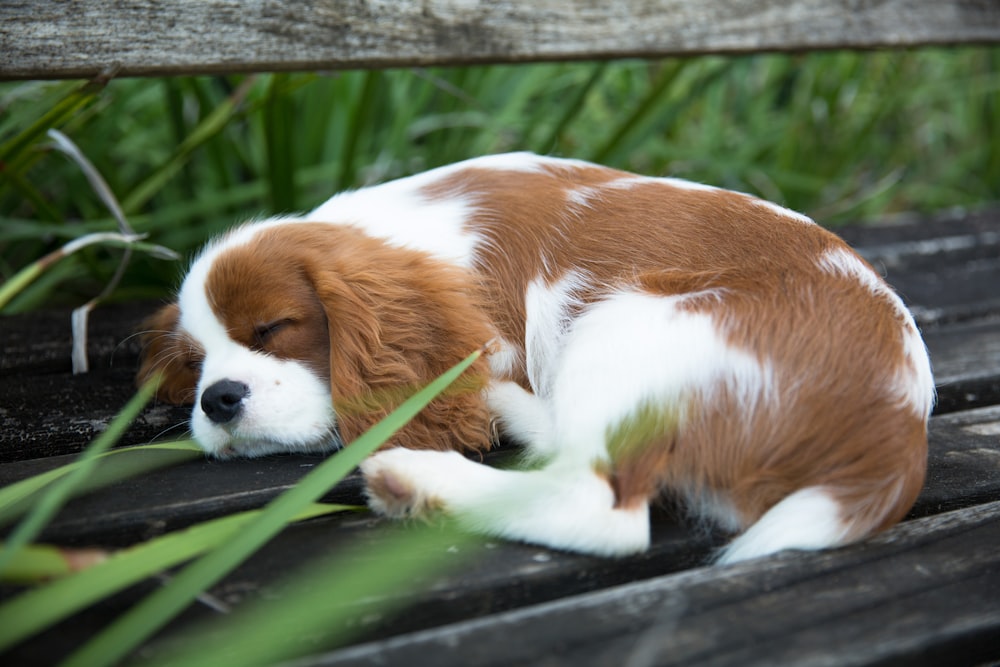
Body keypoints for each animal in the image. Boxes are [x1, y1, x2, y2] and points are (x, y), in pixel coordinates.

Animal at [137, 155, 932, 564]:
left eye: (273, 327)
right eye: (194, 362)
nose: (218, 399)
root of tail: (894, 432)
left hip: (627, 321)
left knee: (604, 512)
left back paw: (420, 476)